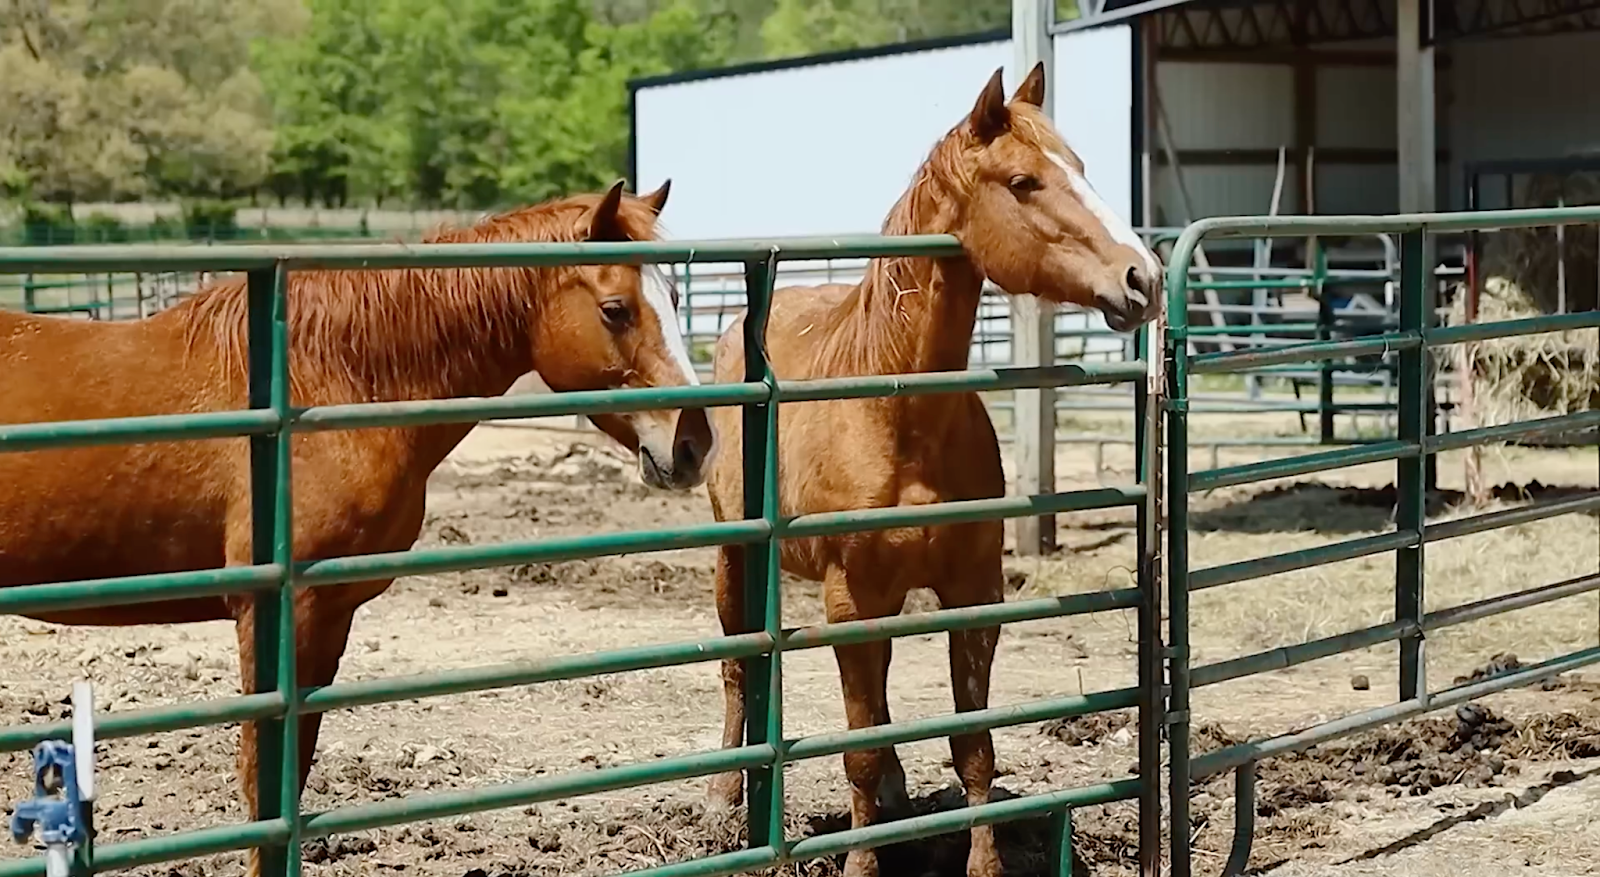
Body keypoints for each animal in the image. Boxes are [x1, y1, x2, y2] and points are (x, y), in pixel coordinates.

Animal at [0, 180, 715, 875]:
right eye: (616, 309)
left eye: (676, 297)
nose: (695, 445)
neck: (325, 380)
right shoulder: (277, 613)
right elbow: (264, 783)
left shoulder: (330, 615)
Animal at [703, 65, 1163, 877]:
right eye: (1023, 181)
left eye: (1080, 166)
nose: (1145, 277)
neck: (898, 415)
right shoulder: (851, 600)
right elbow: (855, 748)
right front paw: (860, 862)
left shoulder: (972, 591)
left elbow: (972, 745)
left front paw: (981, 862)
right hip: (739, 555)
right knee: (739, 666)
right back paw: (727, 797)